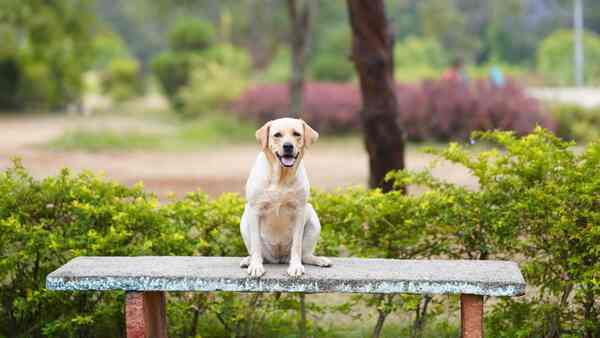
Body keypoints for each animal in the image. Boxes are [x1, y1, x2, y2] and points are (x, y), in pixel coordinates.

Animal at [240, 117, 332, 276]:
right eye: (277, 135)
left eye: (296, 134)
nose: (288, 146)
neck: (281, 177)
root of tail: (278, 258)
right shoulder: (255, 209)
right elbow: (256, 244)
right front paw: (256, 266)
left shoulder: (299, 210)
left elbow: (297, 245)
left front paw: (295, 266)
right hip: (245, 220)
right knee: (258, 252)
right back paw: (249, 260)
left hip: (313, 219)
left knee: (305, 255)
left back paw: (318, 259)